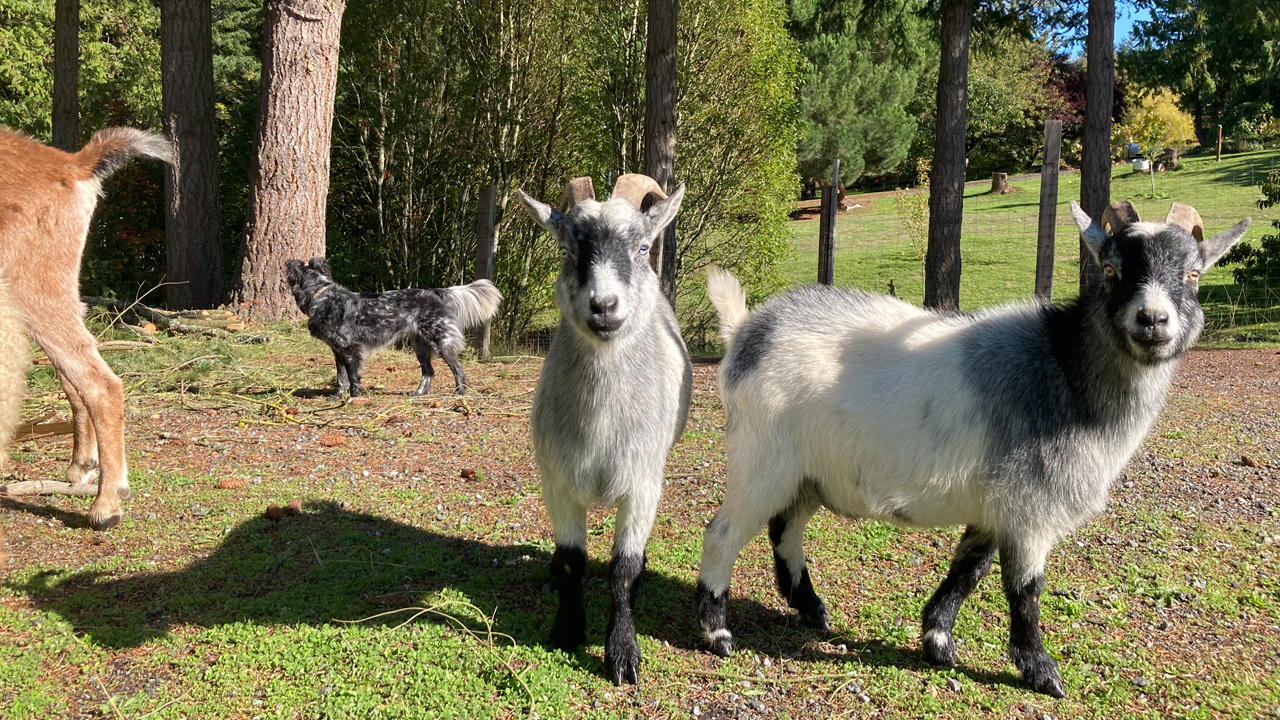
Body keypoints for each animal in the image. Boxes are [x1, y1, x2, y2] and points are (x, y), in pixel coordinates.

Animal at [285, 254, 499, 394]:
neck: (320, 295)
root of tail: (435, 292)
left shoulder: (350, 349)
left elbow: (353, 377)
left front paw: (354, 397)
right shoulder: (338, 351)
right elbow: (341, 377)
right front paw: (339, 396)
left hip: (442, 343)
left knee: (457, 368)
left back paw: (459, 392)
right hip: (420, 346)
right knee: (428, 371)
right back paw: (419, 393)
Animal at [517, 170, 696, 681]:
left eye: (642, 247)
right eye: (565, 250)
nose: (604, 306)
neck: (599, 433)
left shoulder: (642, 484)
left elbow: (622, 568)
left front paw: (622, 653)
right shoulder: (557, 482)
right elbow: (574, 561)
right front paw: (566, 630)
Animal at [701, 198, 1249, 691]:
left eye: (1194, 274)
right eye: (1112, 271)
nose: (1152, 320)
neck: (1065, 368)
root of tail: (746, 331)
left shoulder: (996, 504)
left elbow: (969, 569)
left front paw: (938, 642)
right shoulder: (1030, 506)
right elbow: (1025, 589)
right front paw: (1041, 672)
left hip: (807, 474)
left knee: (784, 530)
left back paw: (812, 610)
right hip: (761, 460)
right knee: (722, 533)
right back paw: (717, 632)